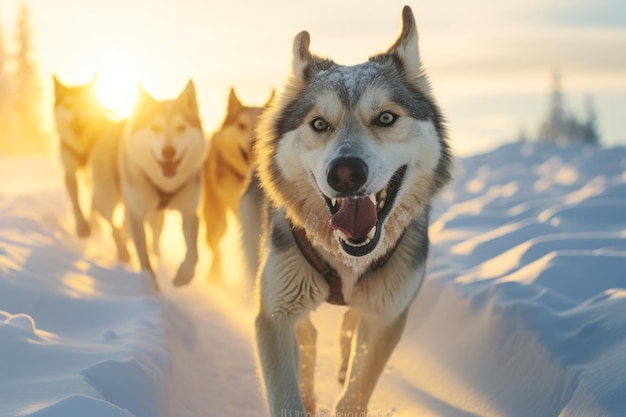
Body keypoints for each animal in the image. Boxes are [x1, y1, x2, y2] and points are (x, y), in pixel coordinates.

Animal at [246, 7, 450, 416]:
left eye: (386, 118)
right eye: (319, 124)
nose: (344, 173)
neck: (347, 263)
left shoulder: (387, 316)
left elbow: (356, 390)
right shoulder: (273, 315)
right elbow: (288, 392)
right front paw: (303, 397)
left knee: (347, 326)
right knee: (309, 334)